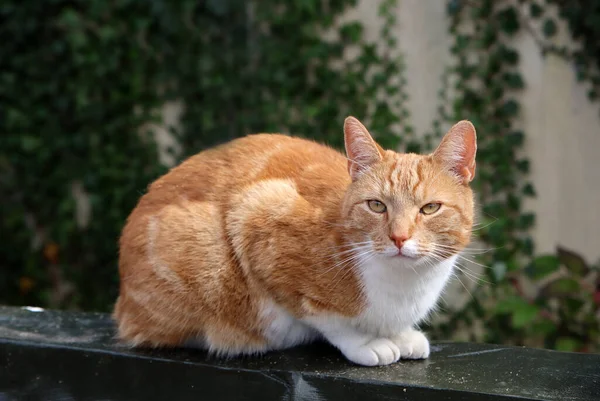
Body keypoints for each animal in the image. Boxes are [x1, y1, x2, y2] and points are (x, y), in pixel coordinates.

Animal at [115, 116, 476, 366]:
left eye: (429, 208)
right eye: (376, 205)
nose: (399, 237)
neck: (403, 288)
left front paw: (400, 335)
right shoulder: (258, 218)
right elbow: (326, 318)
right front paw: (365, 342)